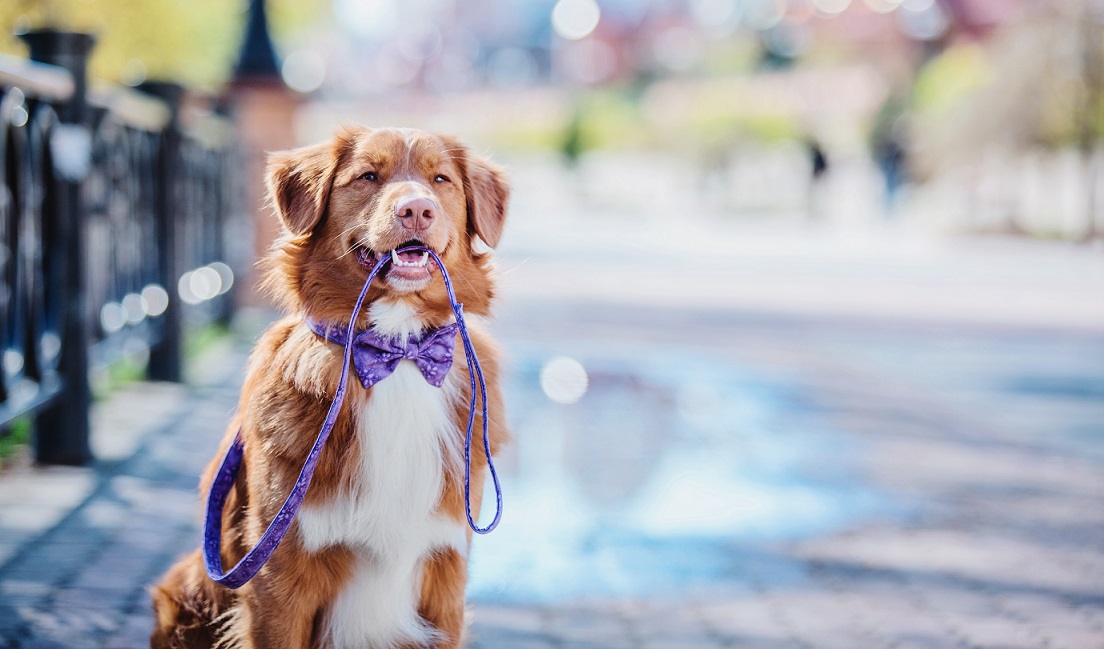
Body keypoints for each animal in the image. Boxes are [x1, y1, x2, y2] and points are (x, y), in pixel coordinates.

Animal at [152, 126, 512, 649]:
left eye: (440, 179)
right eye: (367, 176)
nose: (417, 210)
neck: (397, 354)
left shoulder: (446, 577)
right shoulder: (278, 580)